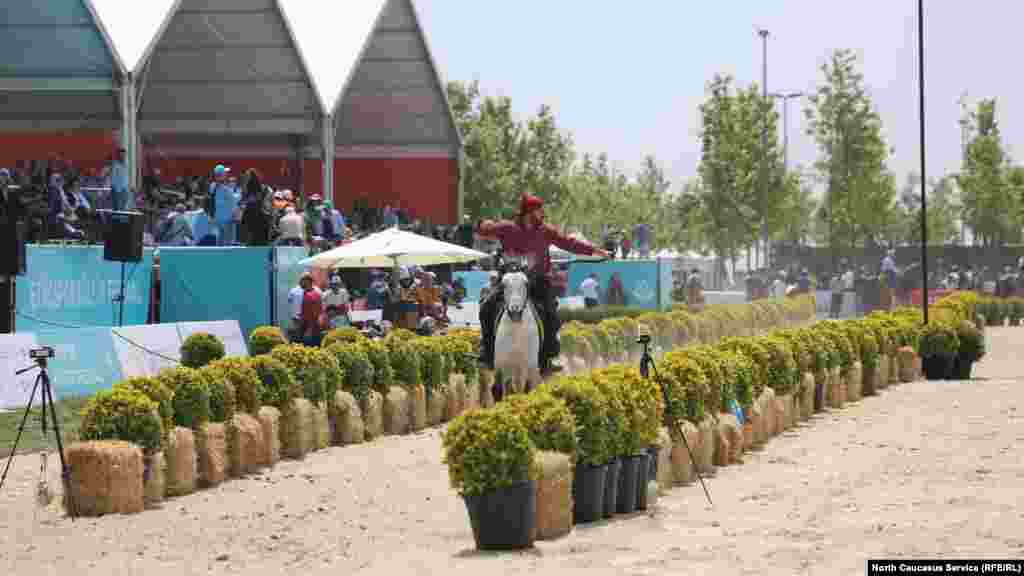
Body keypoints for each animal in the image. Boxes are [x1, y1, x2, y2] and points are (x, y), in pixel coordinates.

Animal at [493, 266, 544, 397]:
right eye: (503, 285)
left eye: (526, 283)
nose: (515, 310)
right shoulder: (505, 365)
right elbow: (507, 389)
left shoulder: (526, 365)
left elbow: (523, 389)